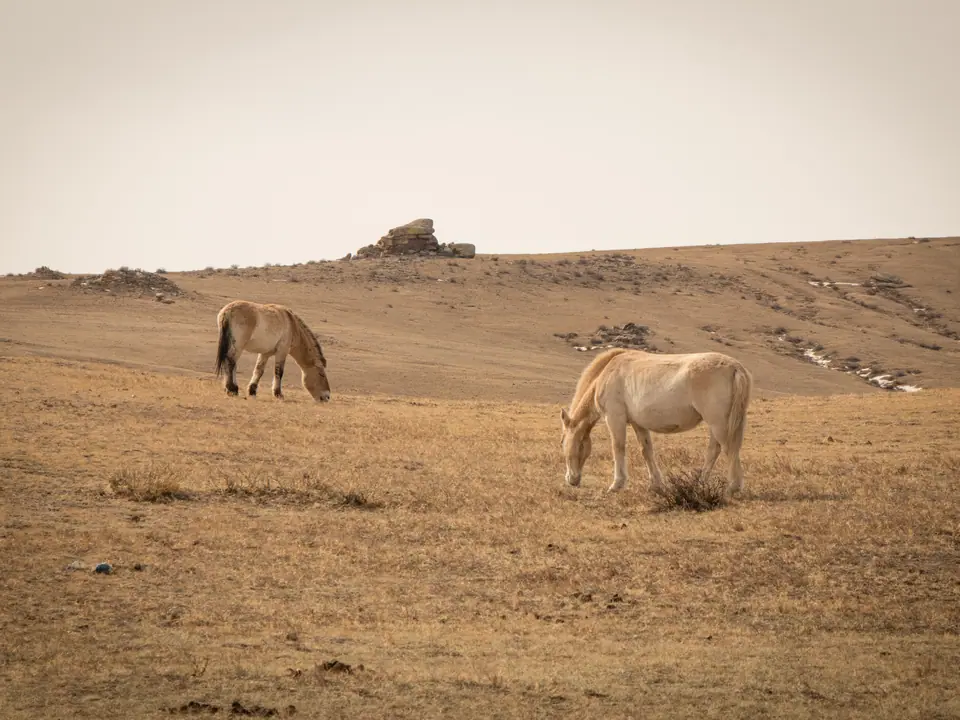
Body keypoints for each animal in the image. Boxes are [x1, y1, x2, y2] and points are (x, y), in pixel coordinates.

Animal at [559, 347, 752, 497]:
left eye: (563, 442)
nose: (571, 480)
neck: (608, 371)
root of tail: (736, 368)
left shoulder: (615, 418)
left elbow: (618, 448)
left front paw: (616, 485)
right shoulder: (638, 424)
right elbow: (647, 451)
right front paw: (656, 485)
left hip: (718, 423)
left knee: (729, 449)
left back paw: (732, 487)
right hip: (722, 424)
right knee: (715, 450)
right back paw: (700, 483)